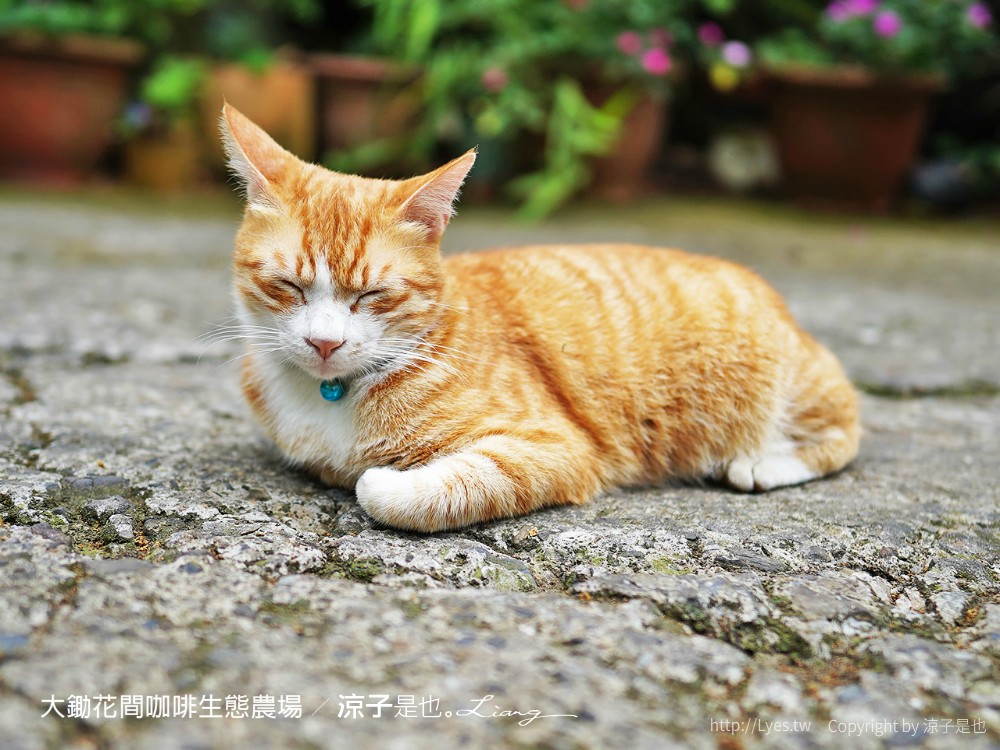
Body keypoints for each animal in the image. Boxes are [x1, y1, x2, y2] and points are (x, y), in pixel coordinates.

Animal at [219, 104, 860, 536]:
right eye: (288, 285)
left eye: (373, 294)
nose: (324, 343)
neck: (329, 394)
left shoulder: (555, 449)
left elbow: (412, 489)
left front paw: (377, 478)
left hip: (792, 389)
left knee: (842, 435)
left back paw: (760, 464)